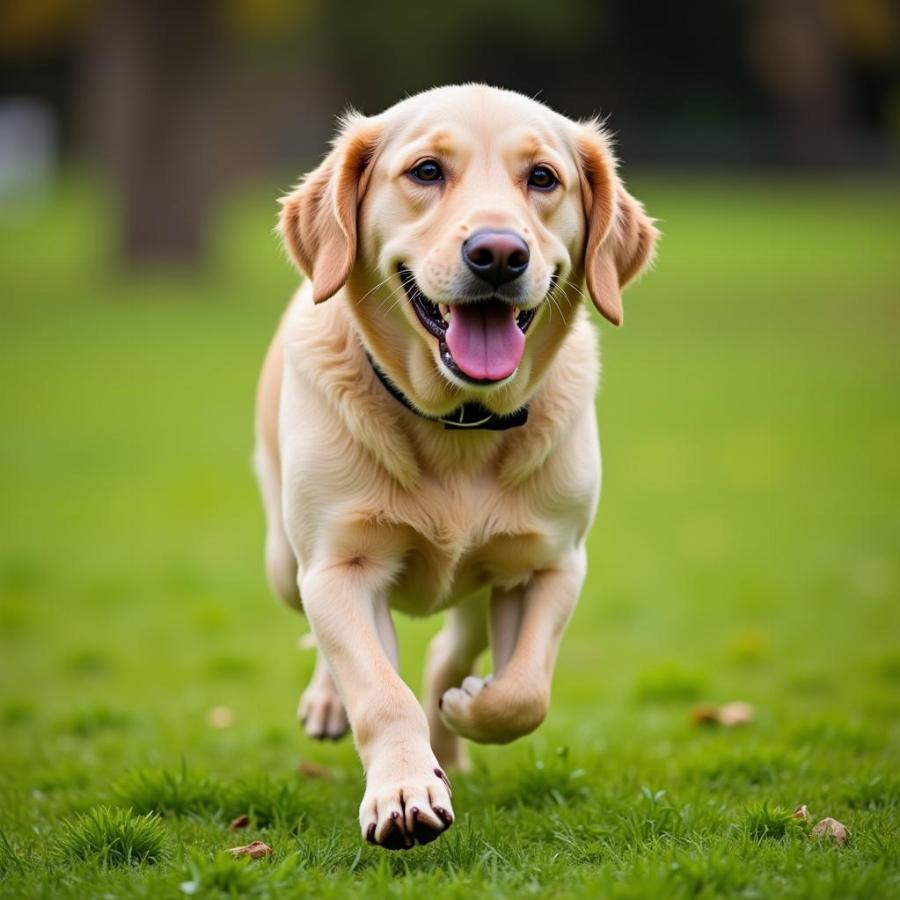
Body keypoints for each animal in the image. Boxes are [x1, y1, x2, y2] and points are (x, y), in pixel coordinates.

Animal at [253, 84, 652, 852]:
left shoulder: (553, 562)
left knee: (452, 647)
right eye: (427, 171)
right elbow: (381, 694)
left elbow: (524, 692)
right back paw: (328, 703)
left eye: (543, 178)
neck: (459, 421)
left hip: (478, 580)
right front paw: (405, 792)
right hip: (286, 562)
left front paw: (468, 713)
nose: (498, 253)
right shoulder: (340, 567)